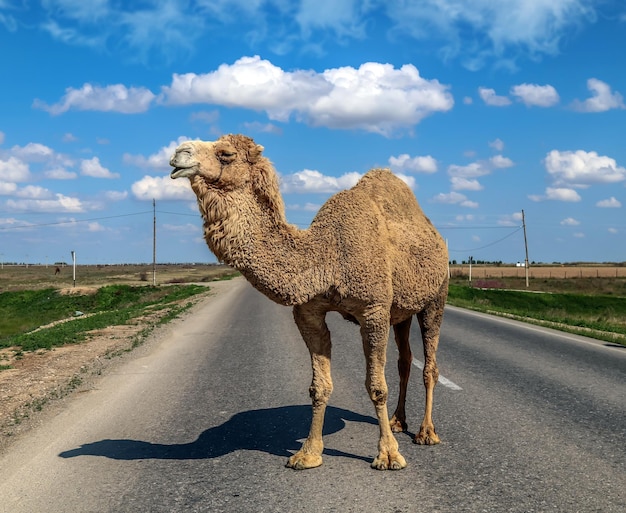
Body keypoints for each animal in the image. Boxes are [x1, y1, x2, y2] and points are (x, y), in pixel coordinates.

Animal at [168, 134, 446, 470]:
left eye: (226, 154)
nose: (179, 152)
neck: (328, 254)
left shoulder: (374, 310)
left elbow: (377, 386)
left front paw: (389, 455)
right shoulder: (309, 312)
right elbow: (319, 386)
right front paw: (308, 453)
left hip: (437, 296)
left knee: (429, 364)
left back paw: (426, 432)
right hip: (402, 310)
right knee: (404, 359)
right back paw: (397, 421)